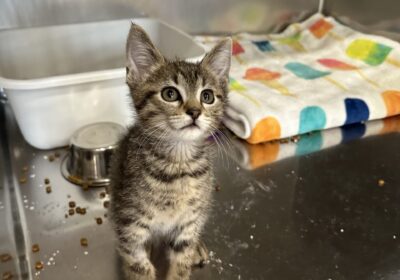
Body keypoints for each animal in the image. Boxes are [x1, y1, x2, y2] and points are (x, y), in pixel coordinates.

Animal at [110, 23, 231, 280]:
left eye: (207, 96)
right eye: (170, 94)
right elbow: (139, 266)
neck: (178, 166)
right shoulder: (130, 226)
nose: (195, 111)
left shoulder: (189, 224)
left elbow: (181, 262)